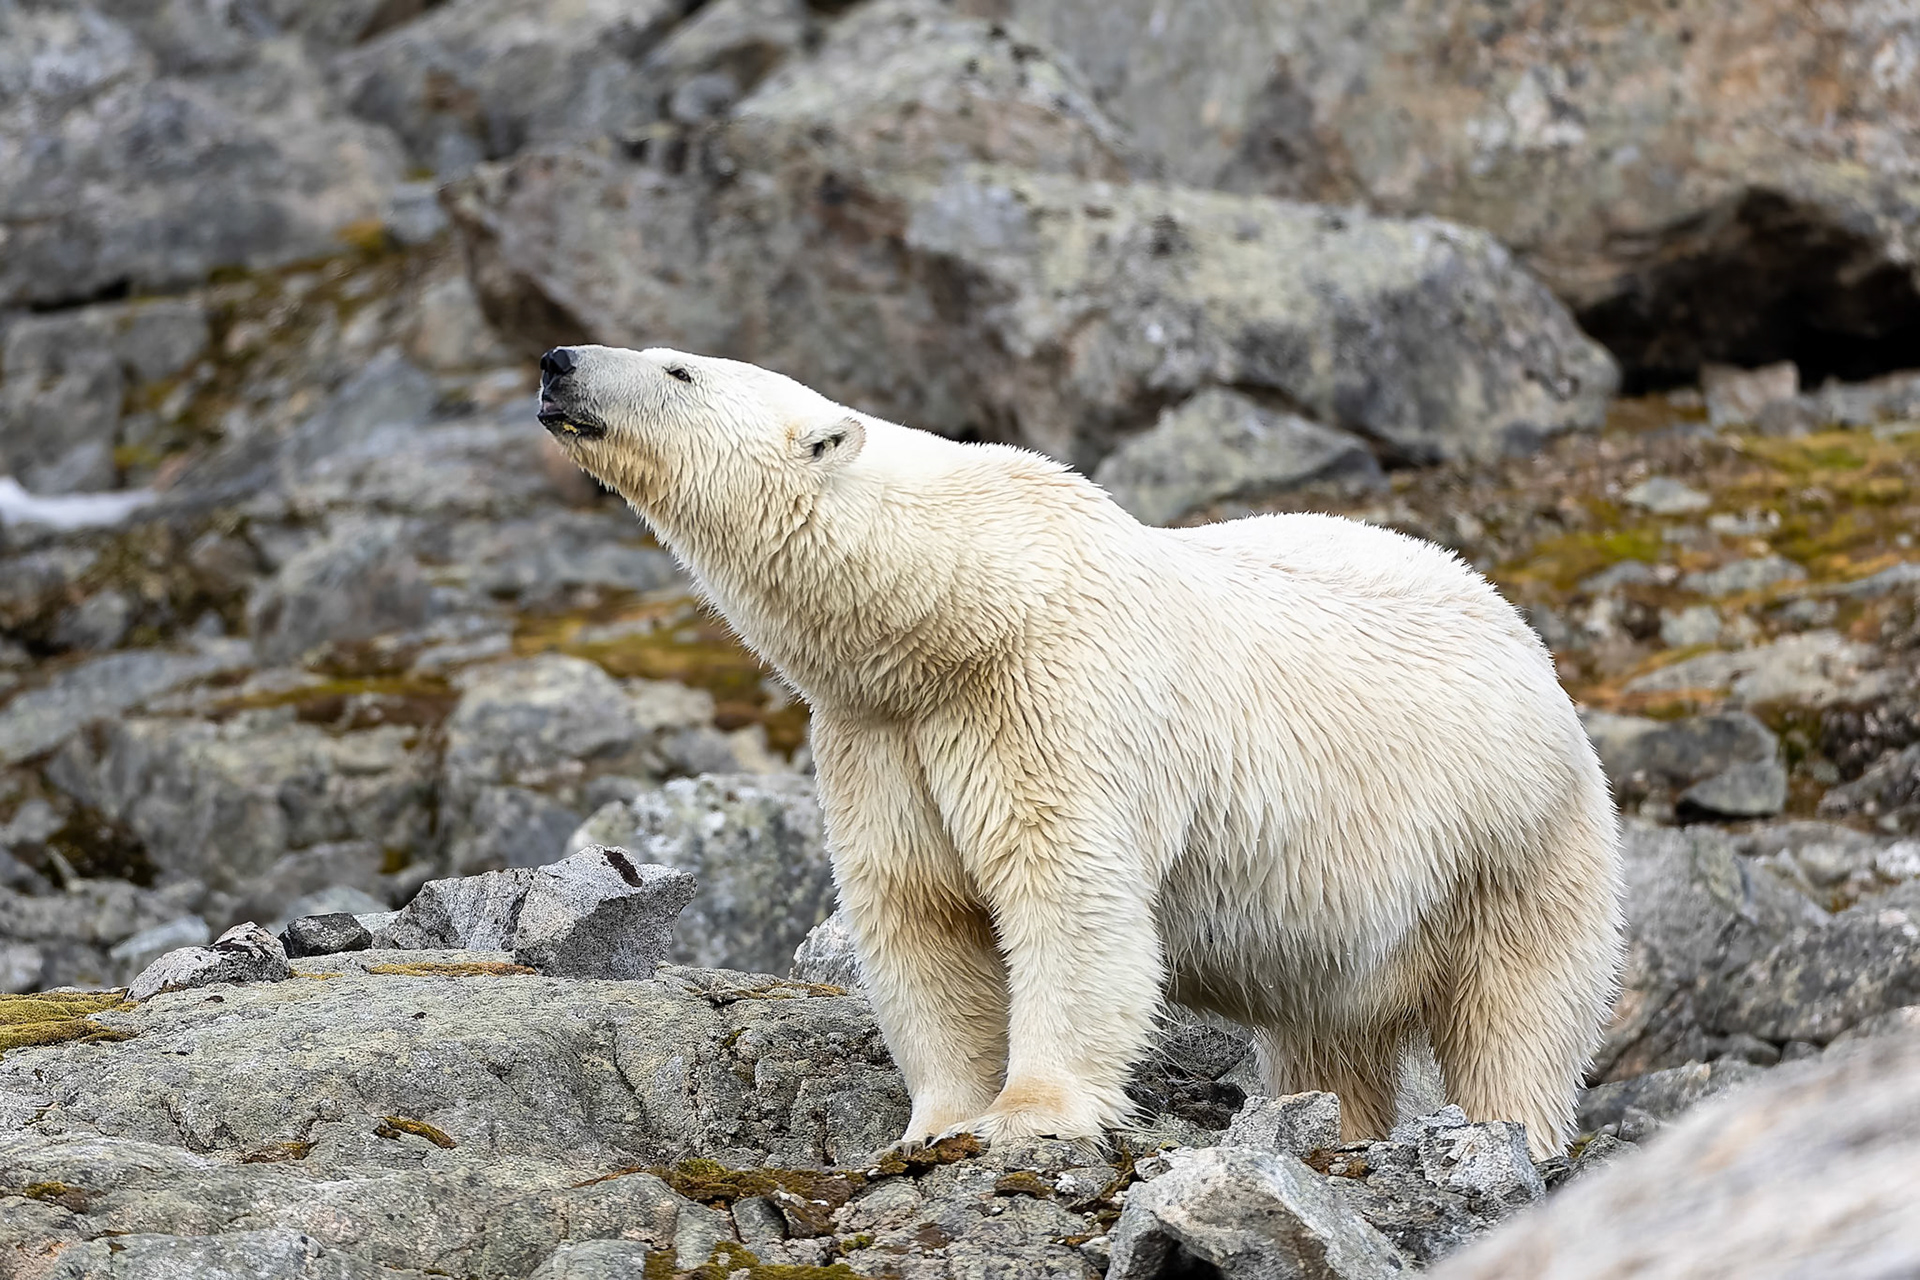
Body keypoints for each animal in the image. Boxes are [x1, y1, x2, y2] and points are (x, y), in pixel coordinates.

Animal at [535, 343, 1624, 1158]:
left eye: (679, 369)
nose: (557, 362)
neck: (956, 610)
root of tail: (1526, 639)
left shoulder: (1054, 696)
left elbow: (1067, 894)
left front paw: (1033, 1114)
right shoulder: (879, 735)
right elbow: (920, 912)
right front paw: (933, 1124)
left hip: (1511, 832)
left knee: (1518, 1009)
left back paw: (1512, 1133)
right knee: (1329, 1033)